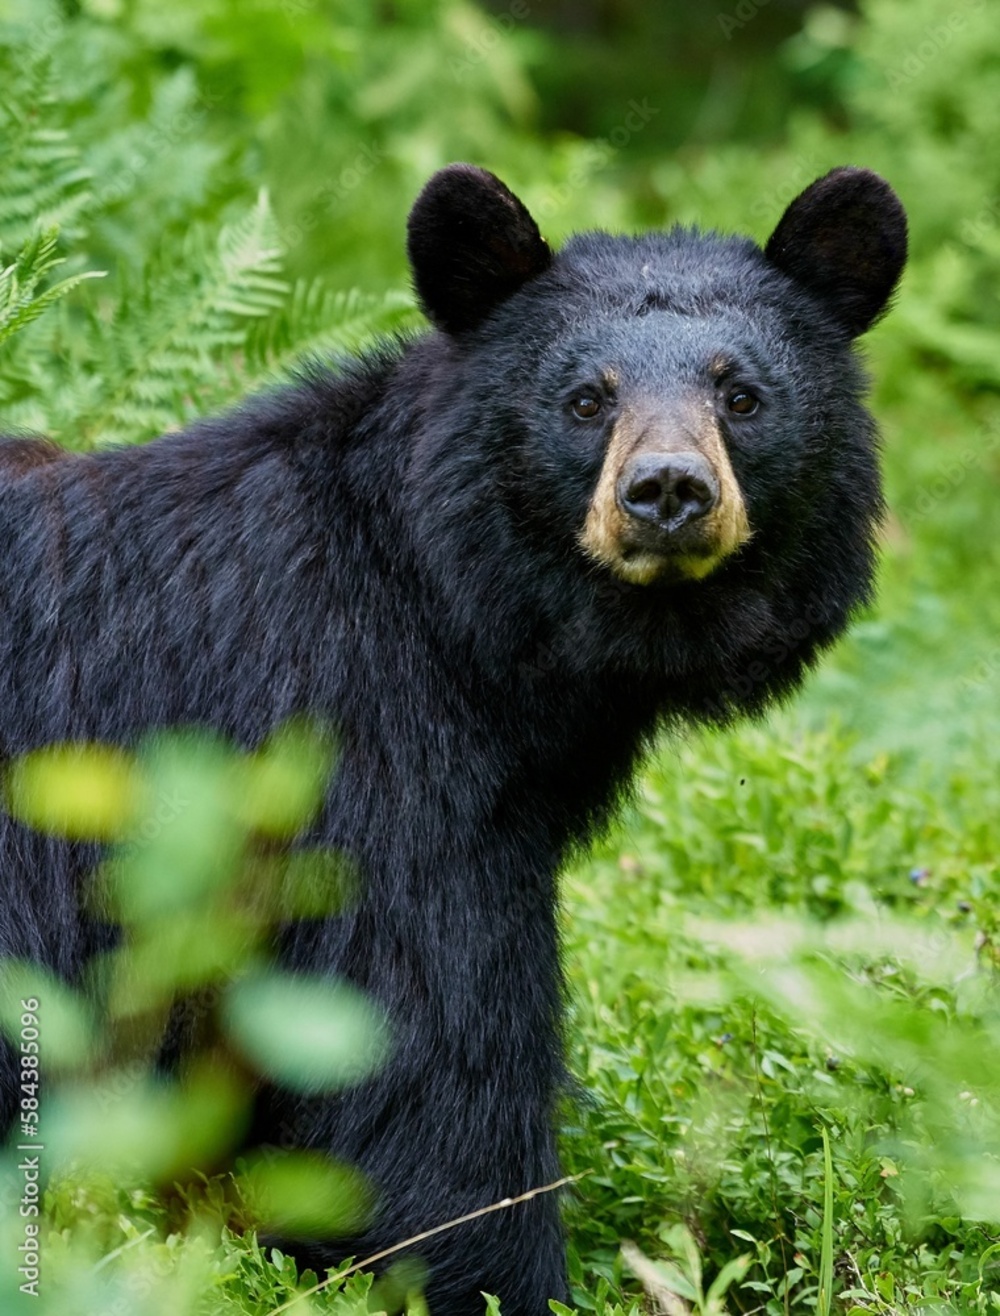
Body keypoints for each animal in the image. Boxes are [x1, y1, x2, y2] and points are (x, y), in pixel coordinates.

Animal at [0, 163, 906, 1314]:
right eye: (585, 398)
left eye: (740, 394)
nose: (666, 492)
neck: (470, 614)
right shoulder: (359, 746)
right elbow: (426, 1040)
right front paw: (492, 1271)